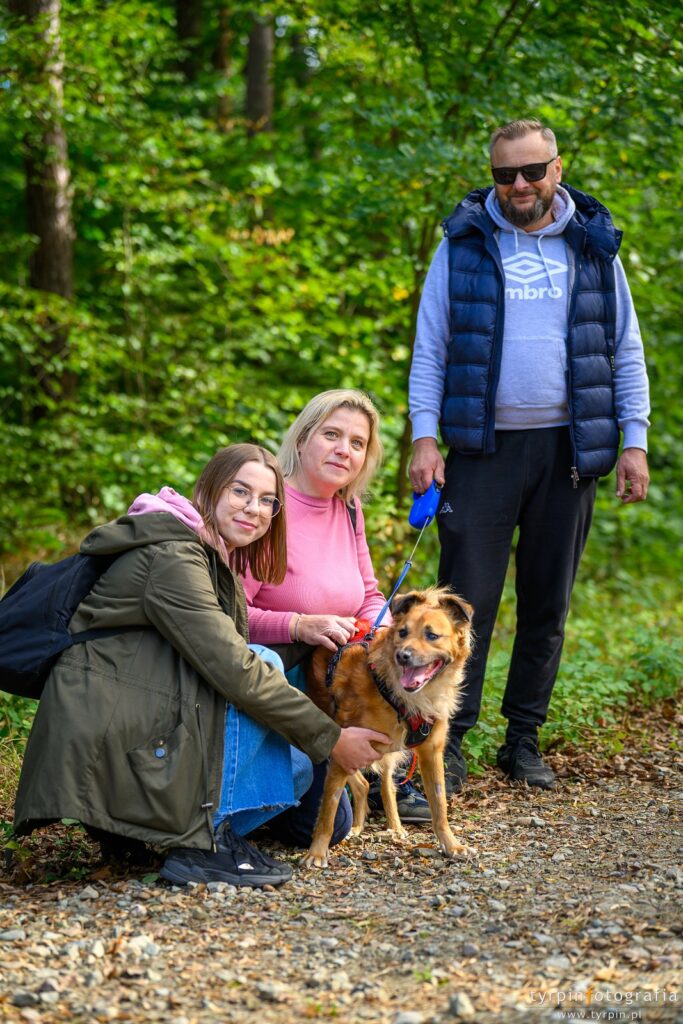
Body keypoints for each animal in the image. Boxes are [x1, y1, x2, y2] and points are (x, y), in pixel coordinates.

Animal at [301, 587, 474, 868]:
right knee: (362, 784)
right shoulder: (344, 746)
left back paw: (395, 826)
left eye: (432, 635)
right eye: (402, 632)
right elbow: (329, 808)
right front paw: (316, 853)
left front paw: (451, 845)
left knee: (383, 784)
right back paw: (357, 826)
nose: (402, 655)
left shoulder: (431, 752)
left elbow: (439, 806)